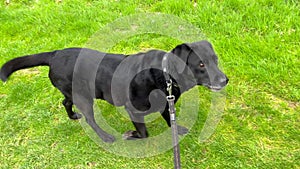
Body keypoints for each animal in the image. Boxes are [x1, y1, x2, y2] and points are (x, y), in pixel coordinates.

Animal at [0, 40, 227, 143]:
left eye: (215, 60)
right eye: (201, 65)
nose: (225, 80)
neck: (164, 74)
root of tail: (54, 55)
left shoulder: (166, 103)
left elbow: (169, 118)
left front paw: (177, 129)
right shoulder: (133, 109)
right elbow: (144, 132)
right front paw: (132, 134)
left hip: (73, 92)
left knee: (65, 102)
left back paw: (73, 116)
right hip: (84, 97)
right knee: (90, 119)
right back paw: (105, 136)